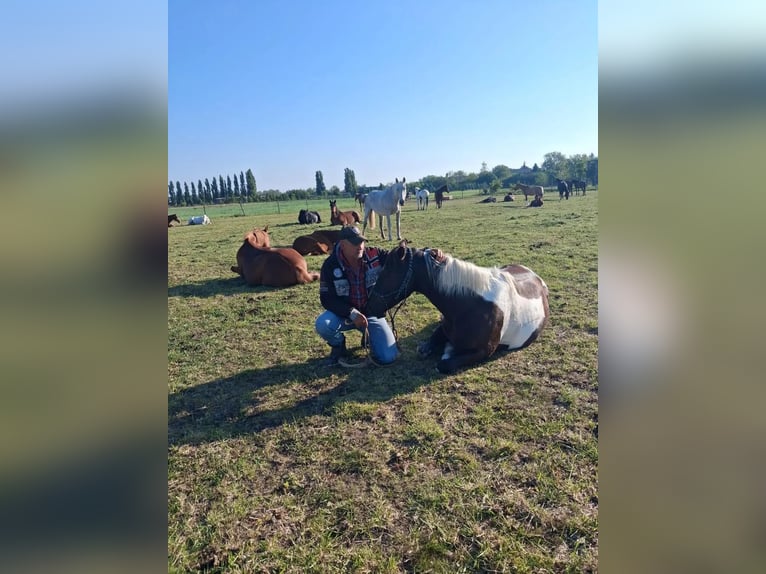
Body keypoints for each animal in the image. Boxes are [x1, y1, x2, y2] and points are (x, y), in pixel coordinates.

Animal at [364, 244, 549, 374]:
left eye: (388, 272)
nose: (368, 307)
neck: (469, 305)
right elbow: (424, 348)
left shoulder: (484, 351)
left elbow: (444, 363)